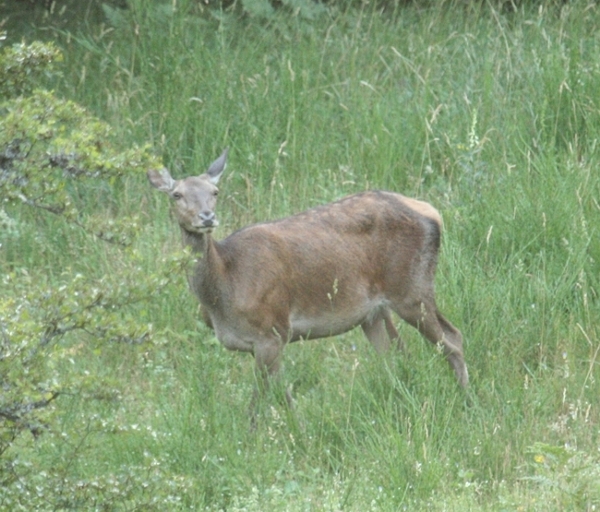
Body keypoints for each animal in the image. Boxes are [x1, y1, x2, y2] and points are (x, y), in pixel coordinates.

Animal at [149, 148, 468, 420]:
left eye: (214, 192)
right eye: (177, 194)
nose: (207, 216)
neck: (223, 291)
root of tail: (432, 212)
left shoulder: (272, 330)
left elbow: (261, 399)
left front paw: (257, 439)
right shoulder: (265, 342)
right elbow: (284, 394)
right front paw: (298, 431)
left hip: (411, 288)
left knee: (452, 339)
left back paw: (466, 401)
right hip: (374, 312)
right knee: (398, 354)